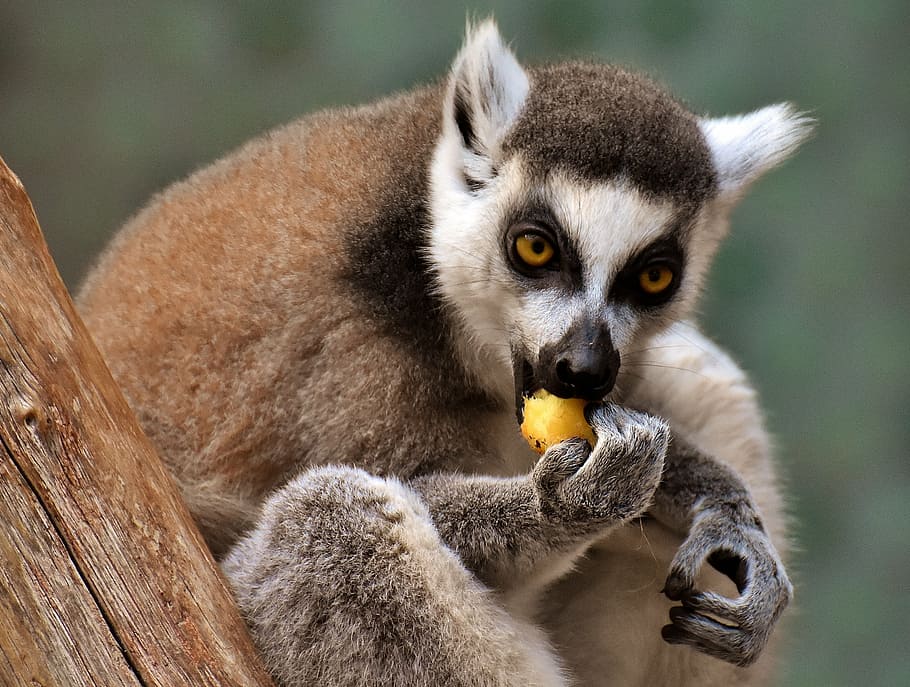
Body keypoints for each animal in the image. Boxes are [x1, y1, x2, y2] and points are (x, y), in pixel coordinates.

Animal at [77, 20, 811, 687]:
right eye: (535, 247)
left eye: (655, 277)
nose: (583, 368)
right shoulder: (351, 355)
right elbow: (410, 498)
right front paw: (571, 500)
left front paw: (720, 504)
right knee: (335, 527)